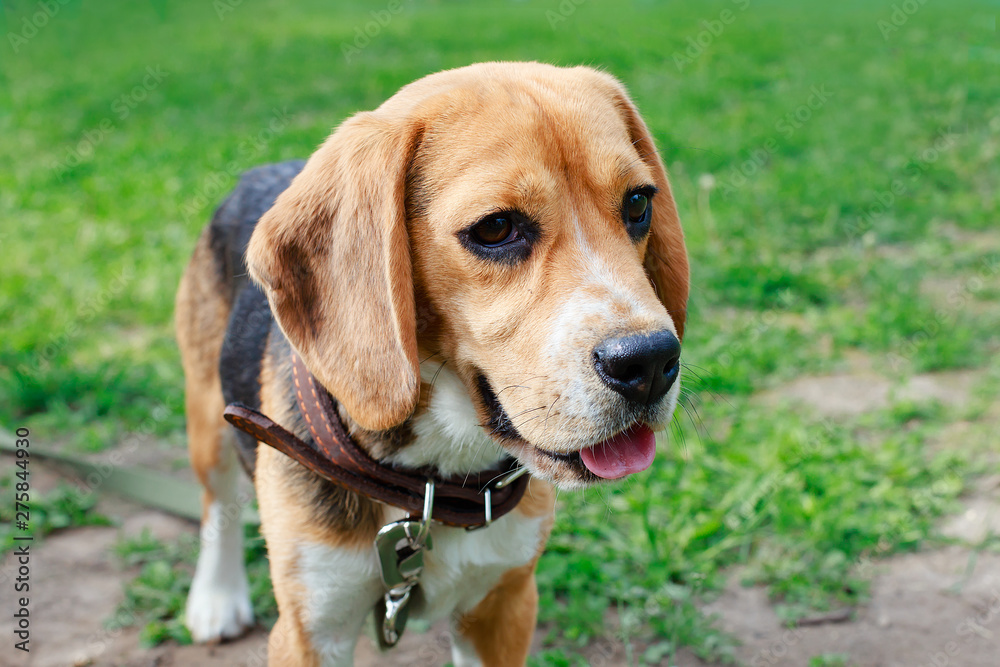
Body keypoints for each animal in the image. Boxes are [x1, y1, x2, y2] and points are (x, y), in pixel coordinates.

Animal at [176, 60, 688, 664]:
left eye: (638, 205)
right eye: (495, 228)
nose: (651, 362)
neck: (431, 483)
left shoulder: (503, 607)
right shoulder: (311, 631)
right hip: (207, 415)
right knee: (217, 503)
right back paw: (216, 597)